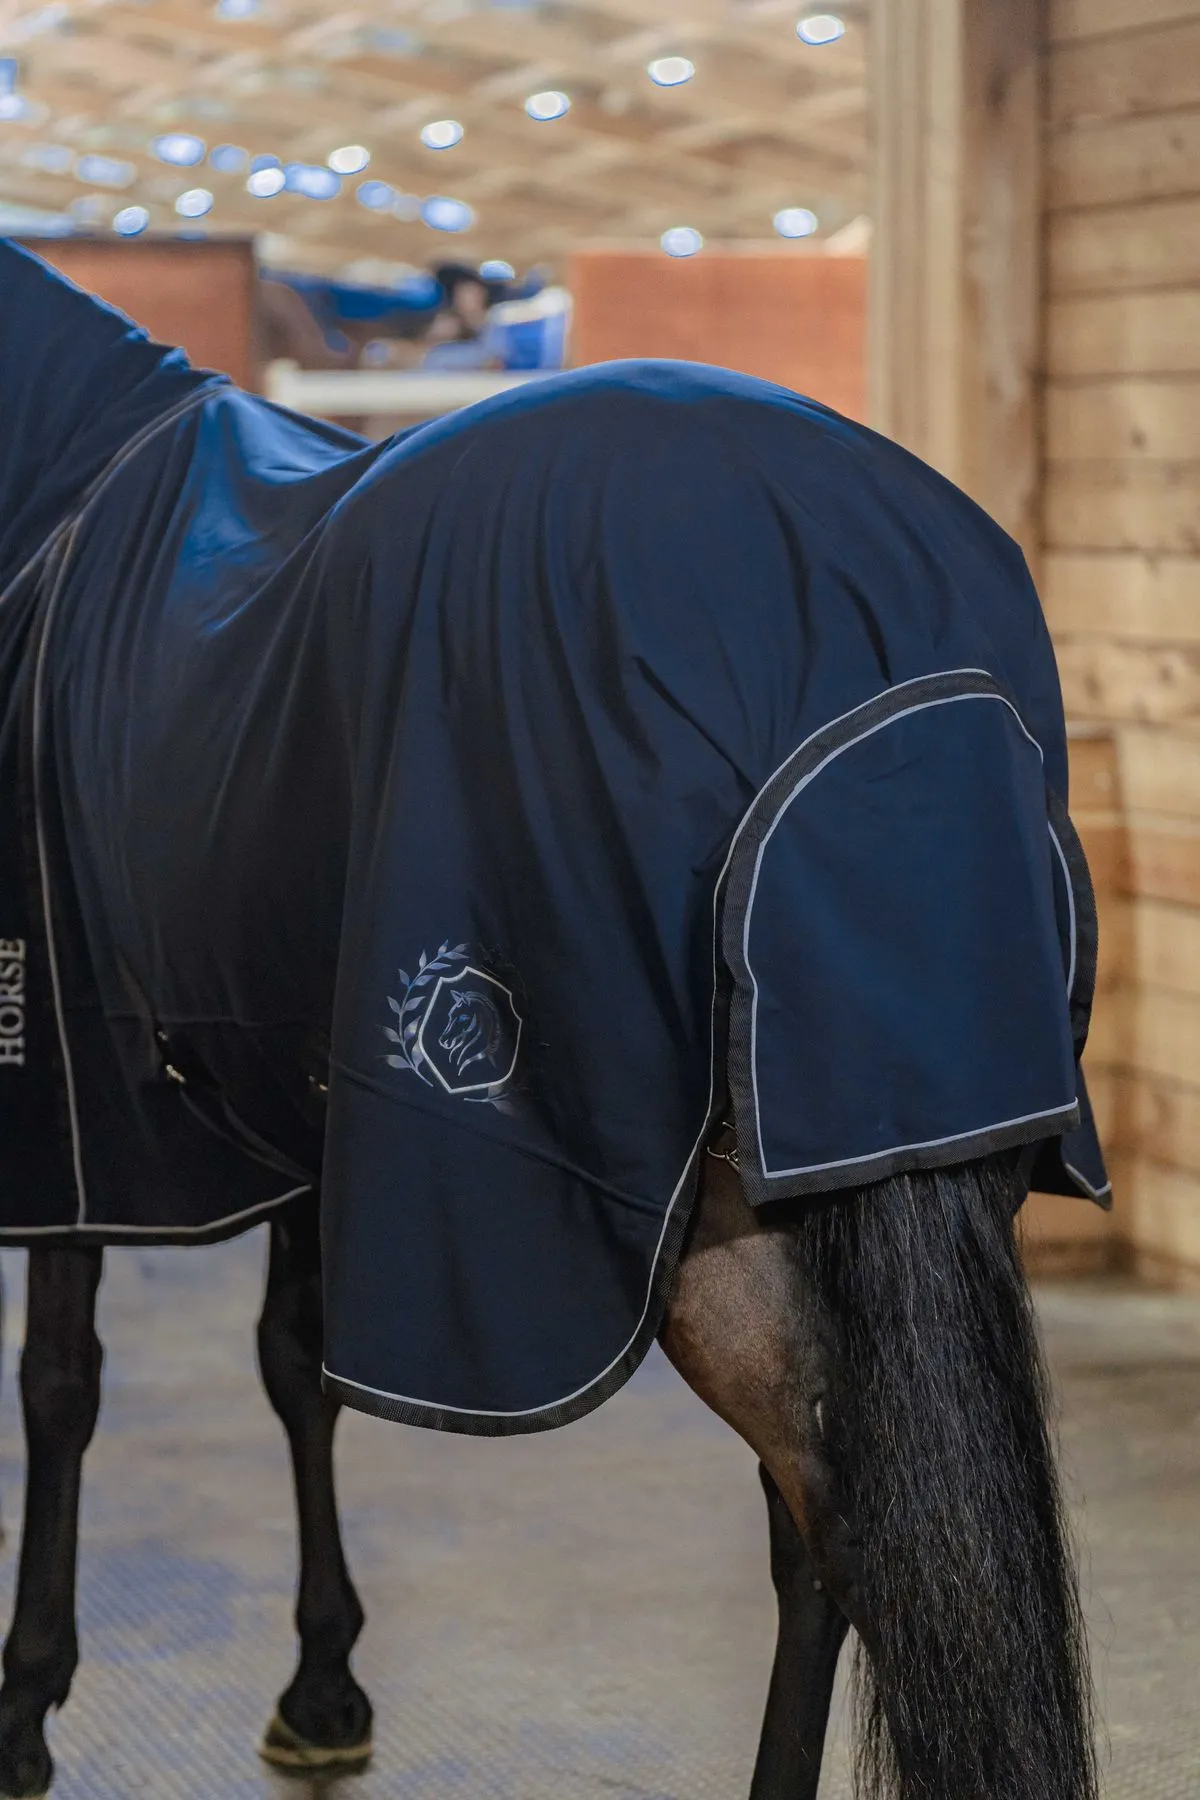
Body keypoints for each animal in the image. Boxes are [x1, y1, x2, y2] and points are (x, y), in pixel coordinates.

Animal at [0, 240, 1107, 1800]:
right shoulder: (300, 1089)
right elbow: (292, 1365)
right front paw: (324, 1689)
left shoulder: (70, 1105)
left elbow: (60, 1387)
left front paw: (25, 1711)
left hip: (708, 1231)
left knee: (837, 1519)